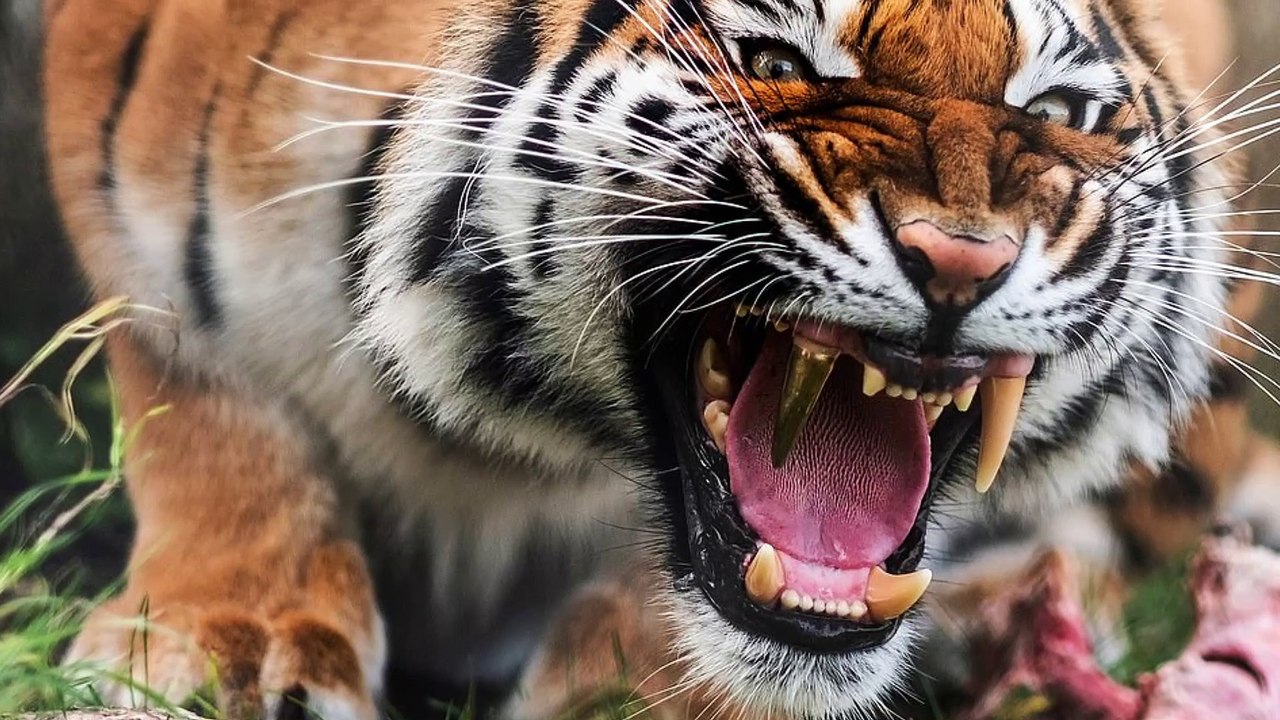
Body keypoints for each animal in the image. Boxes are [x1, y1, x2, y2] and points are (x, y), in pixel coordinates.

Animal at [36, 0, 1279, 717]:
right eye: (772, 61)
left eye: (1059, 110)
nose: (960, 260)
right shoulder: (130, 210)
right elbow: (214, 414)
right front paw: (224, 649)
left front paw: (623, 689)